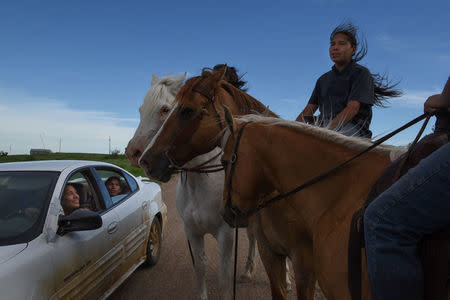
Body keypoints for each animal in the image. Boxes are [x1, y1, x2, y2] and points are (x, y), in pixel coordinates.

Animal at [125, 73, 270, 300]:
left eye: (165, 109)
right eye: (140, 110)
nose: (134, 153)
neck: (201, 184)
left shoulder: (225, 235)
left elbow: (223, 277)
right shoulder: (192, 231)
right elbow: (200, 268)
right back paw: (247, 271)